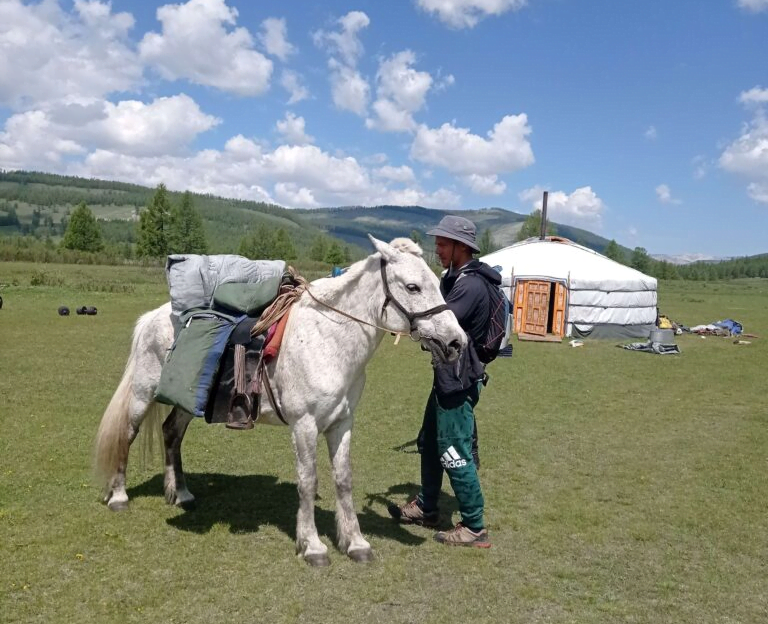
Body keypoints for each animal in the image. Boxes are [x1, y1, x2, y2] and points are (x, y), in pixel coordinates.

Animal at [97, 236, 468, 568]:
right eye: (412, 287)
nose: (456, 342)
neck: (328, 340)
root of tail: (153, 317)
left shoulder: (342, 423)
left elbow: (343, 480)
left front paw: (355, 543)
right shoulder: (304, 426)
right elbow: (308, 481)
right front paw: (312, 546)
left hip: (189, 401)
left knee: (171, 432)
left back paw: (181, 494)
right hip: (143, 393)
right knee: (127, 434)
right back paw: (119, 496)